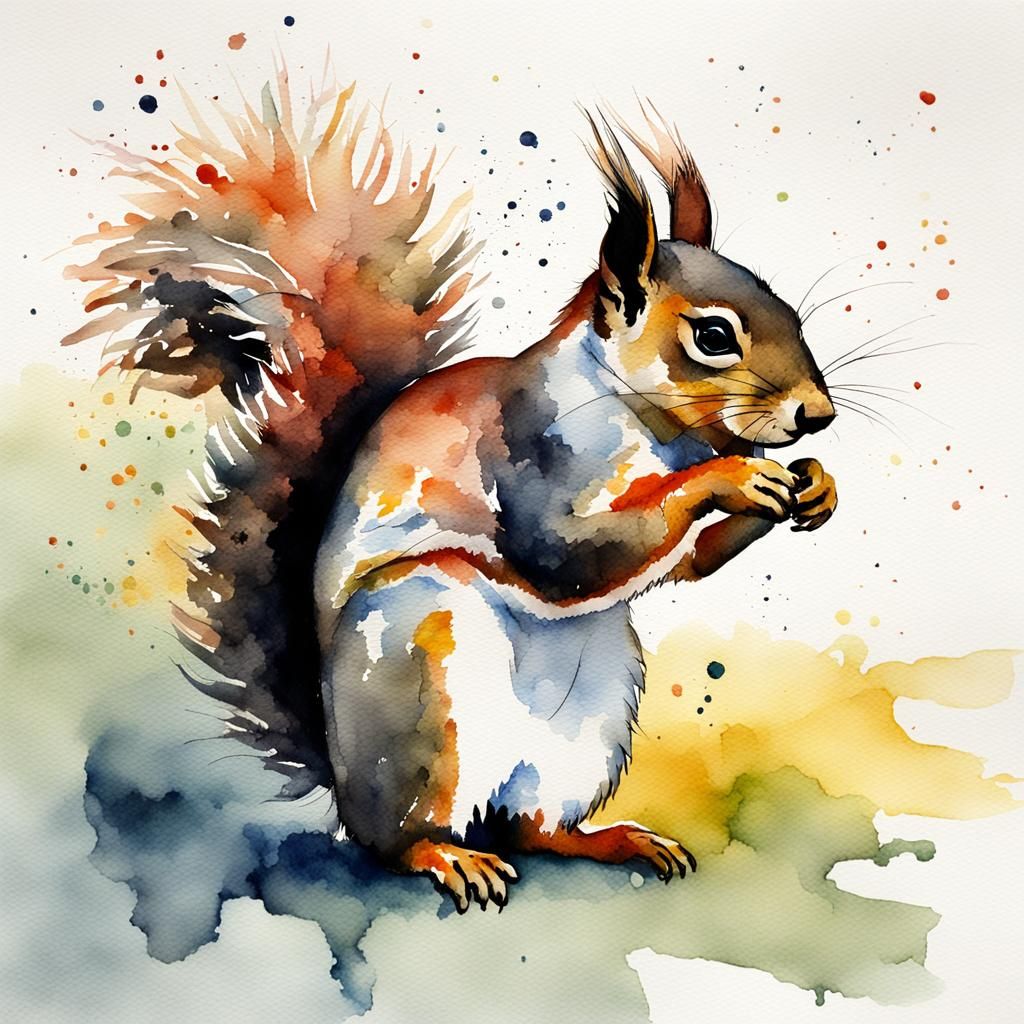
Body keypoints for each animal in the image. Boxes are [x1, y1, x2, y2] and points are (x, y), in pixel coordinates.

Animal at [65, 73, 837, 913]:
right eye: (714, 337)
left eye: (790, 312)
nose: (818, 415)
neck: (653, 423)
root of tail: (342, 776)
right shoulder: (527, 456)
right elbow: (565, 554)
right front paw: (730, 478)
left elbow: (691, 562)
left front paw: (814, 488)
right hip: (419, 664)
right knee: (400, 837)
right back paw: (444, 855)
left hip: (594, 713)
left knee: (533, 827)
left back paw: (611, 840)